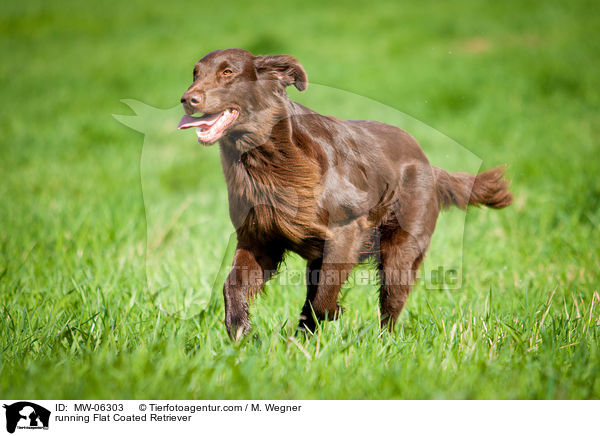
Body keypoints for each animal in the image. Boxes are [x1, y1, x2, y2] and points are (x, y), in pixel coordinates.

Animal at [178, 48, 510, 340]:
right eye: (195, 73)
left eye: (228, 72)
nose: (187, 99)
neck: (268, 158)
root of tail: (429, 164)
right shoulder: (260, 239)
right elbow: (232, 286)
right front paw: (239, 327)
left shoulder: (345, 232)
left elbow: (323, 299)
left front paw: (333, 312)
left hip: (400, 251)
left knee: (389, 308)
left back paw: (381, 344)